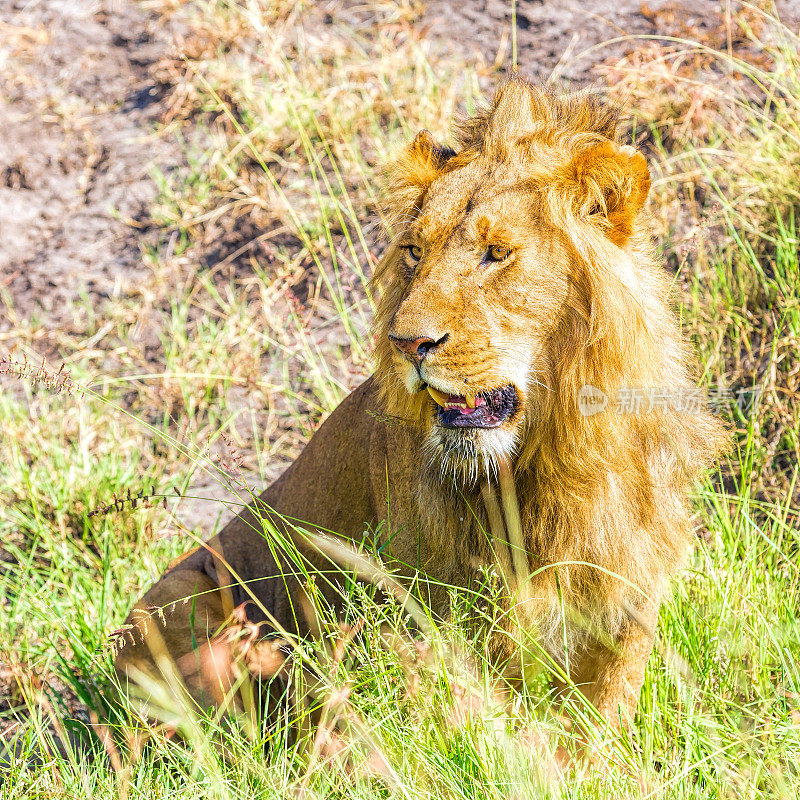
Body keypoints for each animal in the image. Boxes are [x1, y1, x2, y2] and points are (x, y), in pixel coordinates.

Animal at [117, 78, 724, 736]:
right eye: (413, 251)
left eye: (497, 253)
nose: (407, 343)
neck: (553, 457)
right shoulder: (442, 617)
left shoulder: (628, 596)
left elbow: (601, 718)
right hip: (181, 603)